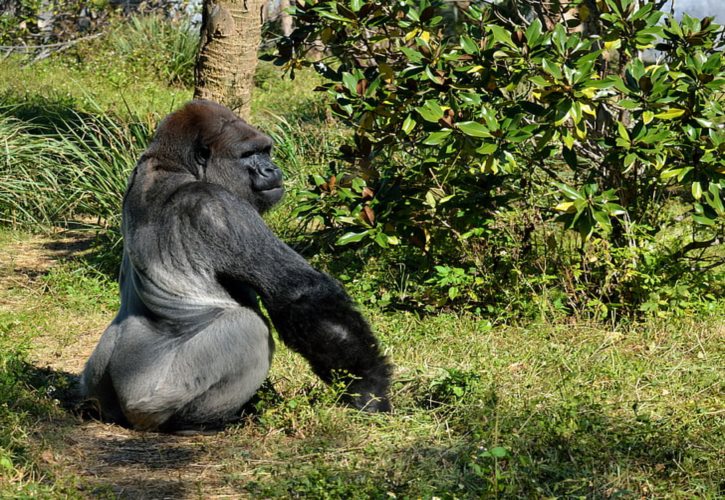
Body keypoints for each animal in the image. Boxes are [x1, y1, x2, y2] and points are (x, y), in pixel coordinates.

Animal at [79, 99, 390, 432]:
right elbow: (301, 295)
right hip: (150, 399)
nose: (271, 169)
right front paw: (368, 388)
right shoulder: (219, 207)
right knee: (249, 327)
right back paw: (203, 422)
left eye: (265, 151)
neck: (172, 165)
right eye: (248, 154)